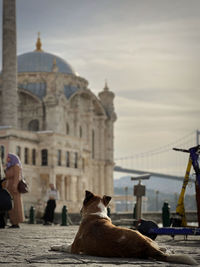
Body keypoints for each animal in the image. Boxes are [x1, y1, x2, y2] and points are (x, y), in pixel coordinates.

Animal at [50, 191, 198, 266]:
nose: (80, 210)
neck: (96, 214)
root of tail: (145, 247)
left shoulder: (74, 247)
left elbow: (64, 245)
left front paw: (55, 246)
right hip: (143, 236)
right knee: (162, 247)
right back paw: (169, 250)